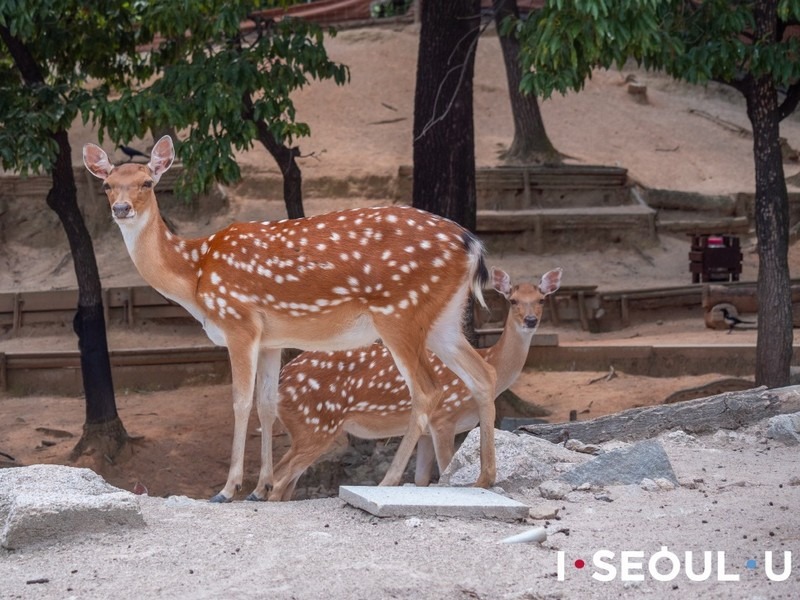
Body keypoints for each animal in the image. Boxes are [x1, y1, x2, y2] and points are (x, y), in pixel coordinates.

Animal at [81, 135, 494, 502]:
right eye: (107, 185)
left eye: (147, 182)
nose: (121, 208)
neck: (195, 277)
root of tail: (472, 244)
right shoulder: (271, 339)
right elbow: (267, 404)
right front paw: (260, 489)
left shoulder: (239, 322)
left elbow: (240, 401)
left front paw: (228, 489)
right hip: (443, 319)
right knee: (482, 375)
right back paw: (484, 478)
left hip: (399, 313)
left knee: (427, 390)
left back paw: (389, 482)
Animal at [272, 264, 560, 500]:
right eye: (512, 300)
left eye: (541, 299)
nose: (530, 320)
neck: (491, 360)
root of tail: (282, 378)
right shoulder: (444, 418)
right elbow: (444, 470)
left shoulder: (426, 433)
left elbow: (422, 479)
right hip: (315, 425)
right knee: (279, 477)